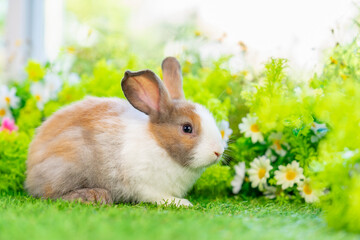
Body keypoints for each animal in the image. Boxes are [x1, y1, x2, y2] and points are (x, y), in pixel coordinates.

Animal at [26, 56, 225, 206]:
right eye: (187, 128)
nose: (218, 152)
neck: (159, 144)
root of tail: (30, 173)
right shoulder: (145, 185)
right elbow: (158, 197)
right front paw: (182, 203)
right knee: (51, 195)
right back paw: (95, 196)